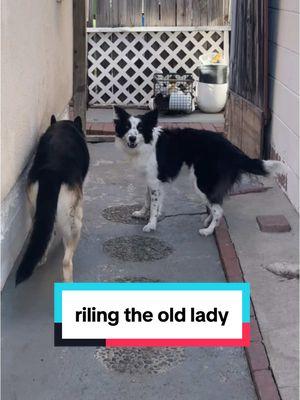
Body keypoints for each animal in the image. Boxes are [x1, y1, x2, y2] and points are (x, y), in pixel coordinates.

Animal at [15, 115, 89, 284]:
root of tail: (51, 172)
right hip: (76, 223)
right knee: (66, 261)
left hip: (35, 211)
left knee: (43, 236)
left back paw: (41, 257)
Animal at [114, 106, 286, 236]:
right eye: (127, 127)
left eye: (140, 128)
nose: (132, 139)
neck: (146, 143)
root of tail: (232, 148)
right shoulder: (151, 180)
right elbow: (147, 199)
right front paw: (142, 213)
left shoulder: (155, 181)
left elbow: (155, 205)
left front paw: (151, 224)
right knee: (215, 204)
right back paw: (208, 221)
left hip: (202, 182)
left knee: (219, 209)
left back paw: (208, 230)